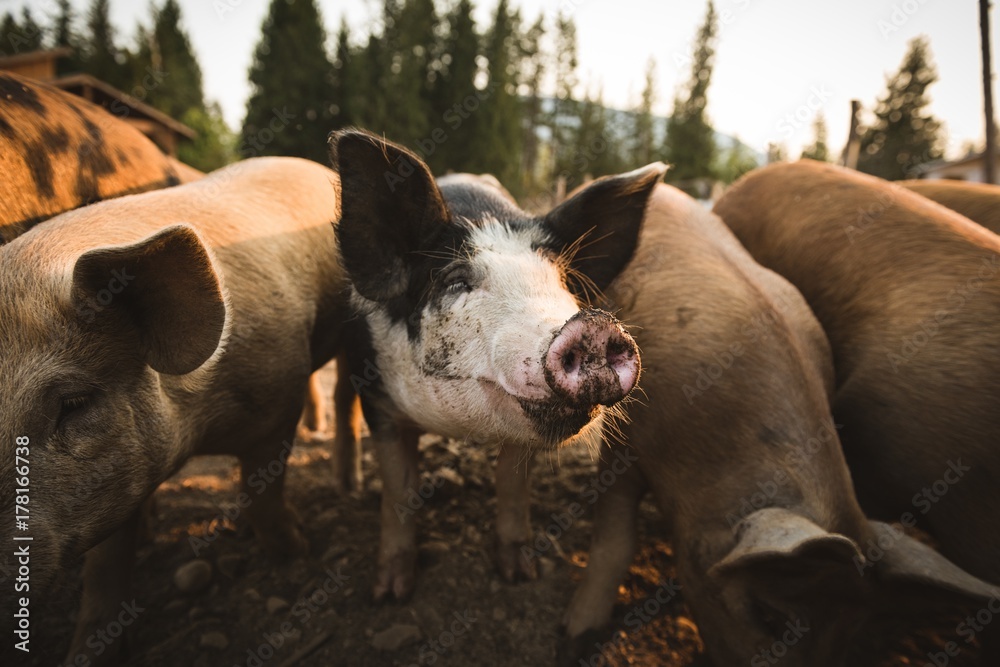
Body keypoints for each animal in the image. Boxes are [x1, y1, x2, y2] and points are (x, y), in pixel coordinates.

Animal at [0, 156, 348, 664]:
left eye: (74, 403)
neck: (198, 433)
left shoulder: (277, 399)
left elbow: (263, 489)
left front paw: (295, 550)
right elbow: (105, 564)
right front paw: (89, 653)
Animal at [329, 129, 650, 600]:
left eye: (562, 283)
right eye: (457, 281)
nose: (592, 325)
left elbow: (511, 483)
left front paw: (521, 573)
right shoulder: (378, 400)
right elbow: (399, 488)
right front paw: (389, 593)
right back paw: (348, 487)